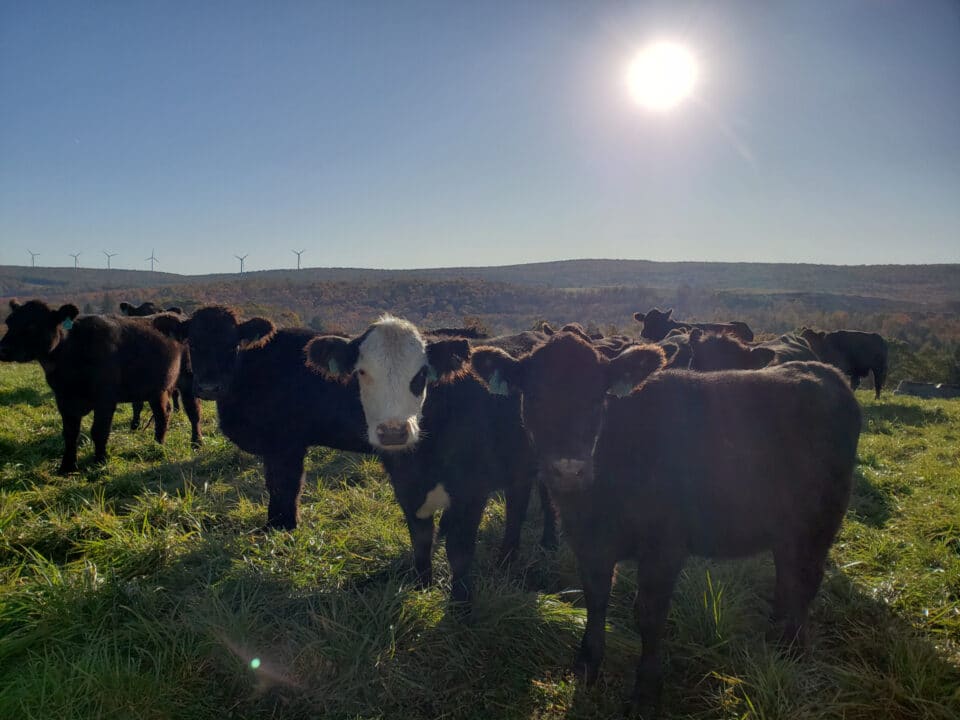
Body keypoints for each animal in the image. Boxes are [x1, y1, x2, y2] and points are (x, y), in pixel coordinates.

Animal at [0, 298, 182, 472]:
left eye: (32, 325)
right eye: (9, 322)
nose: (3, 349)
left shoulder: (105, 399)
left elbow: (99, 431)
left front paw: (100, 462)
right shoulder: (63, 399)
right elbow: (70, 433)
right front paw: (67, 467)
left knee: (163, 413)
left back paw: (158, 445)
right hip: (155, 388)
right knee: (161, 412)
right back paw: (156, 443)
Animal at [472, 332, 864, 716]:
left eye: (598, 399)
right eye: (534, 397)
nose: (569, 469)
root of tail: (824, 372)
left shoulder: (665, 546)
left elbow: (648, 614)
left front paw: (646, 691)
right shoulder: (588, 541)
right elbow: (596, 598)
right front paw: (587, 664)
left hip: (819, 520)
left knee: (806, 579)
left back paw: (792, 647)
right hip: (786, 527)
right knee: (787, 576)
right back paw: (776, 634)